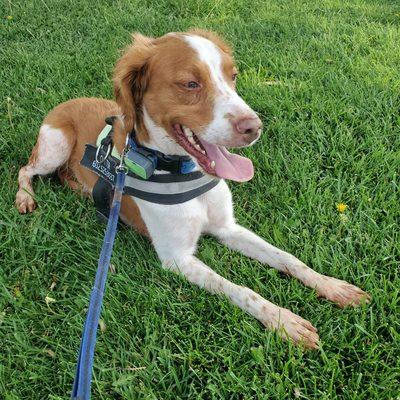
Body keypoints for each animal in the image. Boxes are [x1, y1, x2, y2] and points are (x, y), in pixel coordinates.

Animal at [16, 29, 372, 348]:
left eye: (233, 76)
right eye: (190, 83)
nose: (254, 127)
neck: (184, 175)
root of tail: (66, 102)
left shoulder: (228, 228)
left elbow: (289, 259)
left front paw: (333, 286)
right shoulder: (178, 259)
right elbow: (243, 290)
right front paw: (284, 320)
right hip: (55, 146)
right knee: (25, 169)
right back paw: (25, 198)